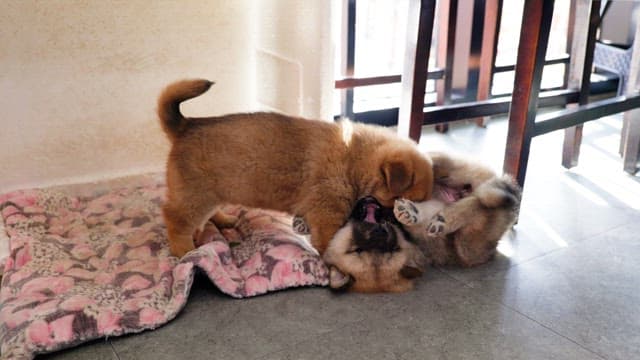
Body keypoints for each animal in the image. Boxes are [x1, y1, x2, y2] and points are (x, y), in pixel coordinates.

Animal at [158, 79, 432, 258]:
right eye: (398, 201)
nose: (395, 223)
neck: (355, 160)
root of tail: (185, 126)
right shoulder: (327, 213)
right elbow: (330, 239)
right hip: (195, 196)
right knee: (176, 219)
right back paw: (184, 251)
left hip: (214, 192)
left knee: (207, 214)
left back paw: (224, 220)